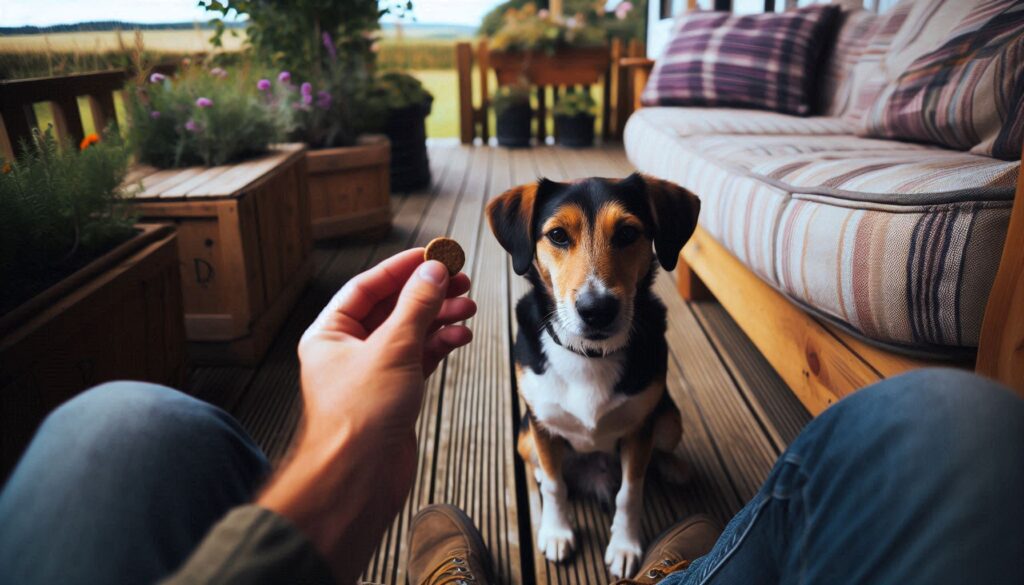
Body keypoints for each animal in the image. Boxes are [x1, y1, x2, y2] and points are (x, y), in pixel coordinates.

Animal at [485, 173, 696, 577]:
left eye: (628, 233)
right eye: (557, 235)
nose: (596, 310)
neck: (588, 353)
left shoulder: (640, 429)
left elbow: (630, 491)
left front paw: (625, 546)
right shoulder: (541, 425)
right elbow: (554, 486)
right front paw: (556, 532)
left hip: (669, 419)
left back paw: (675, 467)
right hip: (524, 435)